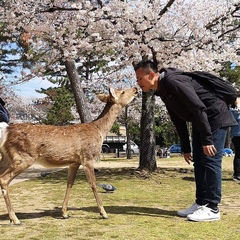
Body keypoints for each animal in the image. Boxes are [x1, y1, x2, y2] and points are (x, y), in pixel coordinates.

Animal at [0, 87, 138, 224]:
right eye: (122, 91)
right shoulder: (87, 157)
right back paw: (15, 218)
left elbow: (69, 184)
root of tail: (6, 131)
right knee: (4, 179)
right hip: (23, 157)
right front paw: (104, 213)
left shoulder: (74, 162)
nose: (136, 88)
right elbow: (93, 184)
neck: (99, 131)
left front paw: (64, 213)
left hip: (7, 157)